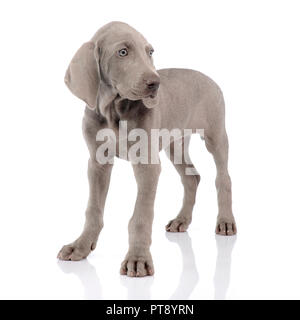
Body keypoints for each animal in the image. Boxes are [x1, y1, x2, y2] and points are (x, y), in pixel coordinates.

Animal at [58, 21, 237, 278]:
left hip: (215, 136)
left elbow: (140, 215)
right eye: (123, 52)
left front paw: (138, 259)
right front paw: (81, 246)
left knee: (223, 178)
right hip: (175, 144)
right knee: (191, 177)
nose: (155, 84)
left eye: (150, 52)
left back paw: (225, 221)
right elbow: (93, 209)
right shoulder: (97, 162)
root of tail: (208, 77)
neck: (114, 111)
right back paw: (181, 220)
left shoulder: (147, 165)